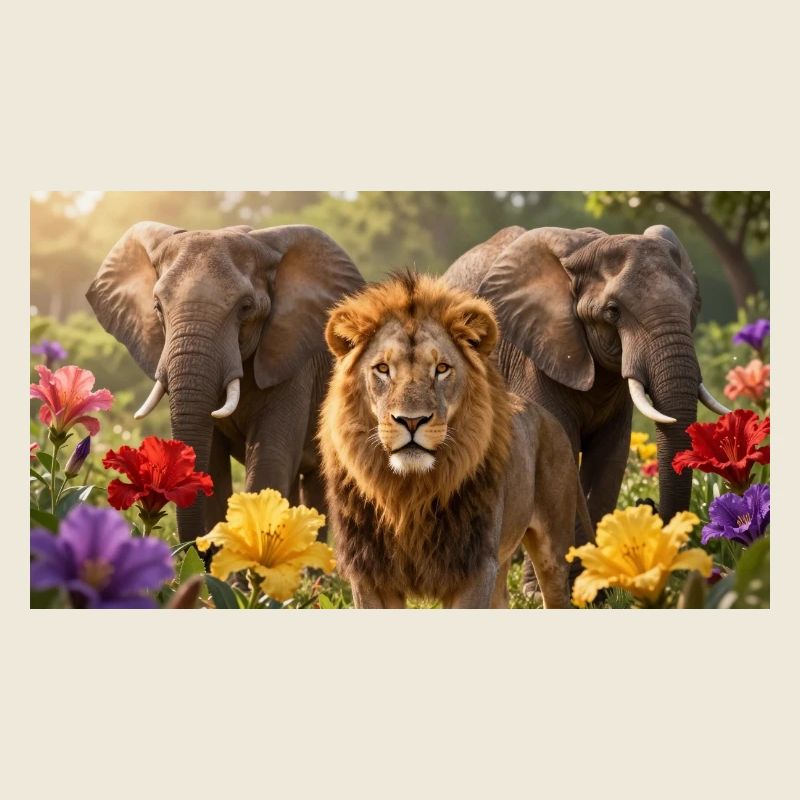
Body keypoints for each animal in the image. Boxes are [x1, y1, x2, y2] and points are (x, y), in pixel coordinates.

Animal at [318, 273, 589, 608]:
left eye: (442, 369)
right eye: (382, 369)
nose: (411, 420)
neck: (409, 493)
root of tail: (547, 416)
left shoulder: (475, 565)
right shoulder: (370, 573)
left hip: (552, 549)